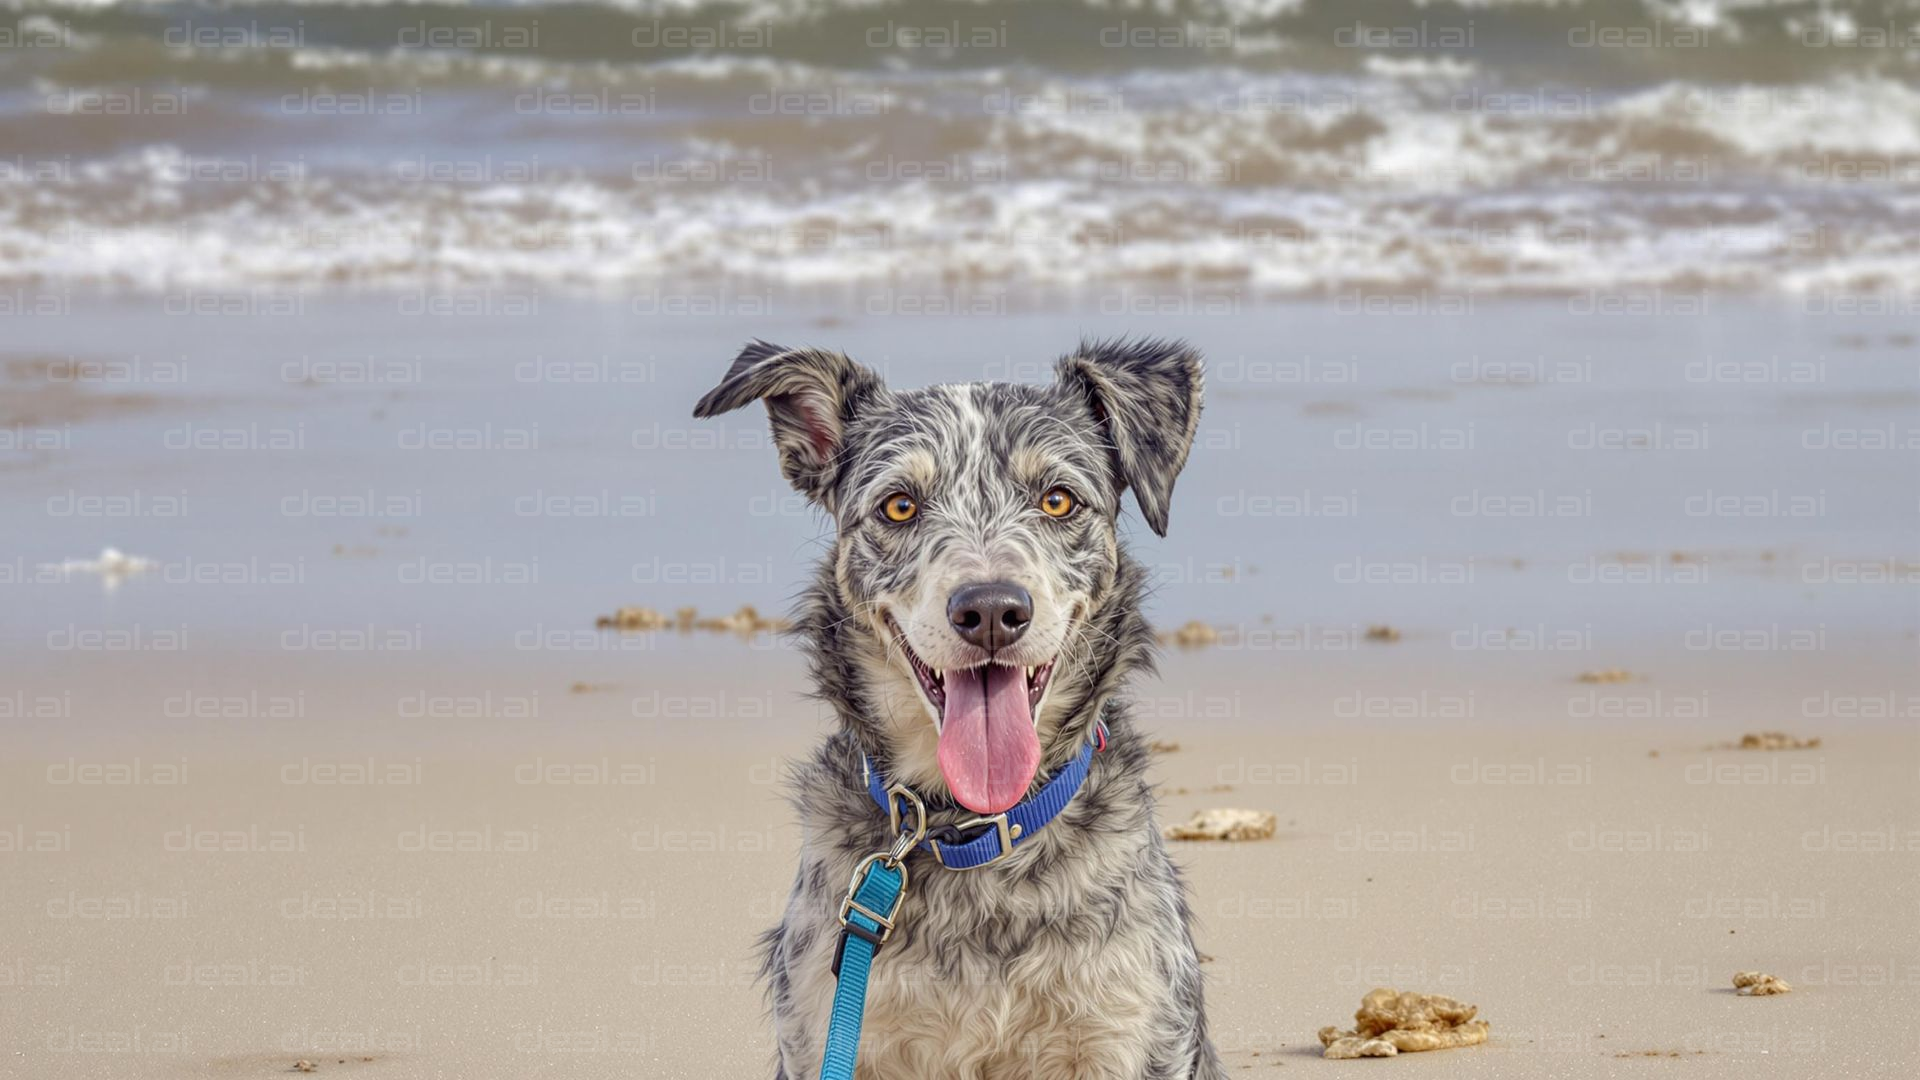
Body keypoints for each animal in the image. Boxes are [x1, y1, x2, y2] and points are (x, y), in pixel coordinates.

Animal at [698, 338, 1221, 1076]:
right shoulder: (826, 1026)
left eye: (1058, 499)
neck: (972, 832)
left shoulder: (1134, 1031)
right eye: (898, 506)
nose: (992, 609)